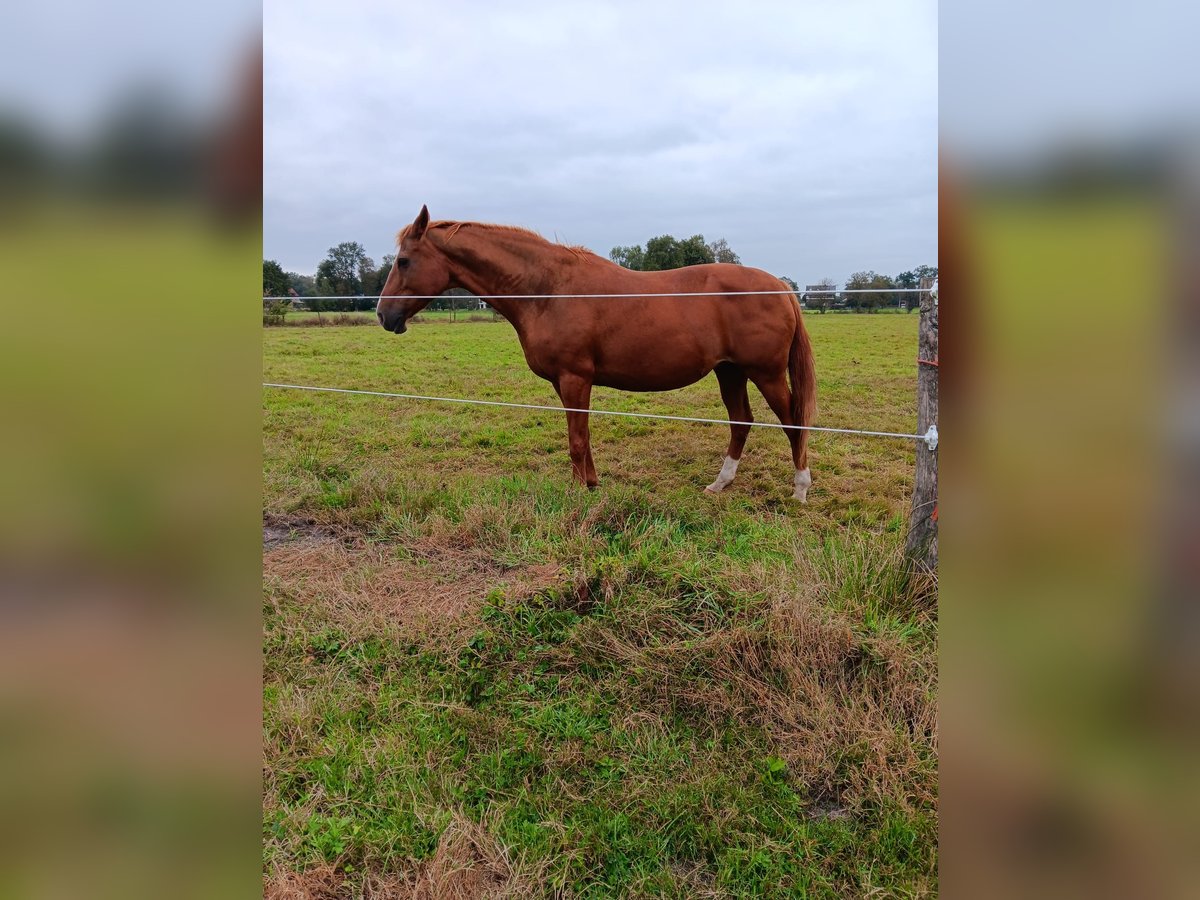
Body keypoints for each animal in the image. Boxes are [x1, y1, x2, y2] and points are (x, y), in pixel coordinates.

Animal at [379, 206, 820, 501]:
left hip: (764, 372)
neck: (548, 290)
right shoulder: (566, 383)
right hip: (729, 371)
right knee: (741, 421)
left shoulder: (575, 377)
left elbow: (577, 439)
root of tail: (780, 287)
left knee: (792, 421)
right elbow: (584, 437)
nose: (384, 315)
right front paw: (591, 484)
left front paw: (578, 493)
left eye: (404, 260)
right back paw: (720, 483)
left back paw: (800, 489)